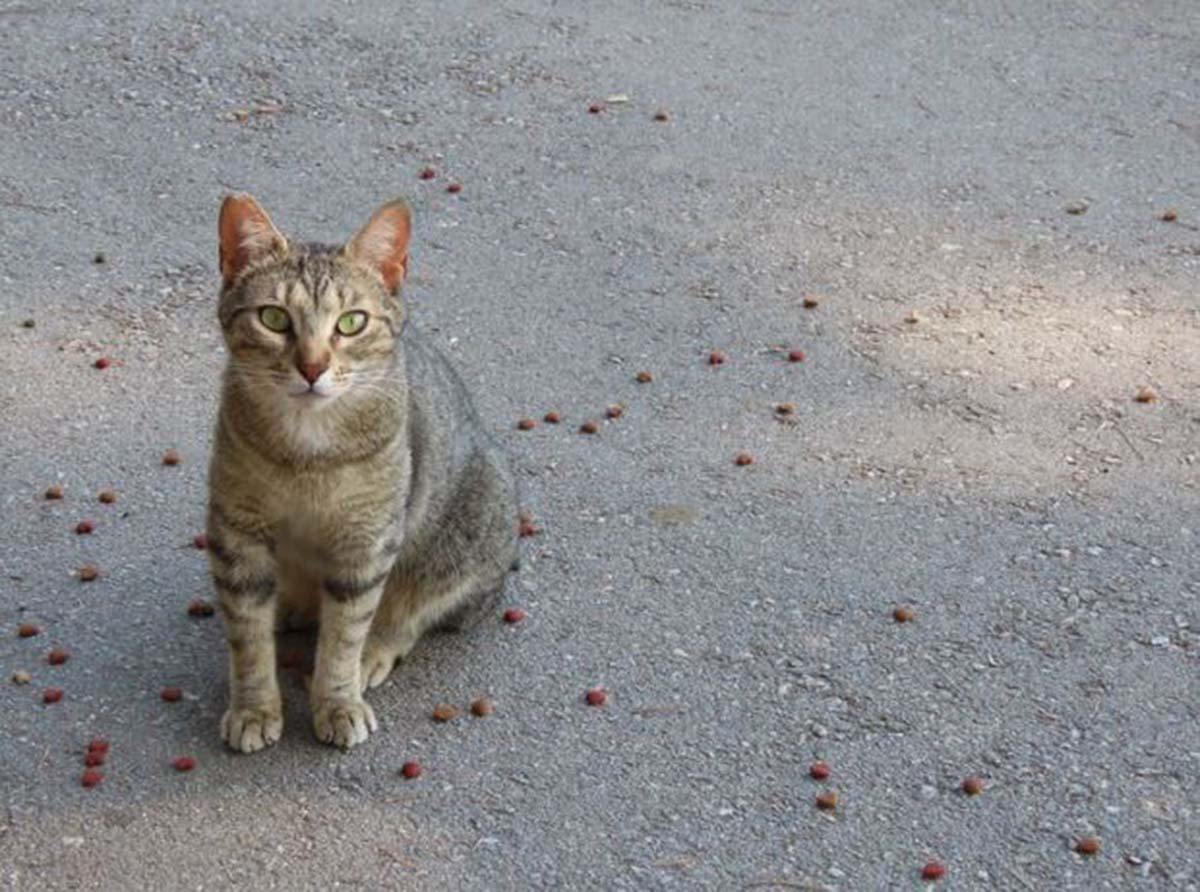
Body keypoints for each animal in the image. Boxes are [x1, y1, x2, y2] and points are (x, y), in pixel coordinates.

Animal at [208, 195, 518, 753]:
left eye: (351, 322)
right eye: (273, 318)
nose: (312, 368)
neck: (306, 449)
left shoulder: (366, 545)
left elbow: (343, 639)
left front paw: (338, 701)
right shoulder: (236, 534)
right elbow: (247, 638)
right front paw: (253, 707)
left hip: (465, 530)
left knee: (411, 610)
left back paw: (375, 648)